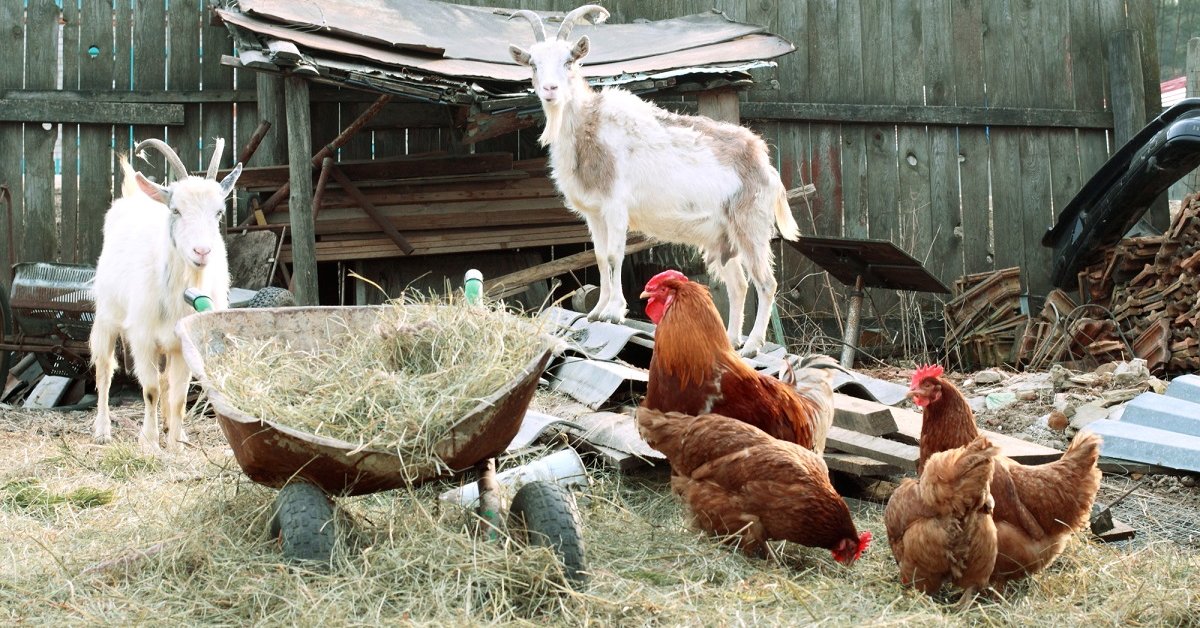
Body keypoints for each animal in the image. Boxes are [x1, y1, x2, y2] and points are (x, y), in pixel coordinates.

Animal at [90, 138, 242, 451]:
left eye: (219, 212)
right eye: (176, 210)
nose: (202, 251)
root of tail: (134, 196)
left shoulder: (183, 343)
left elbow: (179, 396)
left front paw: (176, 443)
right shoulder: (142, 337)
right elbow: (149, 390)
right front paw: (149, 442)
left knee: (166, 383)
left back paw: (172, 428)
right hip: (106, 317)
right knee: (104, 370)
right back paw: (102, 430)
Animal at [504, 4, 796, 355]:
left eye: (568, 61)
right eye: (533, 64)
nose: (550, 90)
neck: (590, 127)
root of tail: (765, 163)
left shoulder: (616, 206)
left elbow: (614, 255)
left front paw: (614, 312)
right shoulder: (594, 214)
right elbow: (599, 257)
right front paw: (596, 312)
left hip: (751, 225)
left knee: (766, 282)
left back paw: (752, 346)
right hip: (723, 236)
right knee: (738, 285)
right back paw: (729, 341)